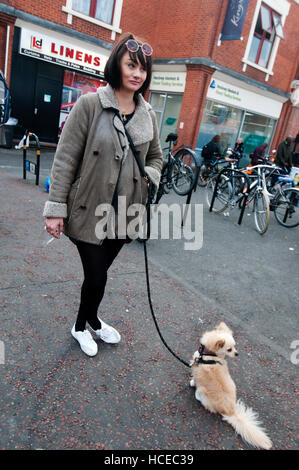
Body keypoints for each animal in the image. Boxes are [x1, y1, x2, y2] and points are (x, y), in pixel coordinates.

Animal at [191, 322, 274, 450]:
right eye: (230, 349)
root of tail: (231, 411)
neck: (210, 355)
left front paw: (191, 382)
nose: (237, 353)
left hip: (203, 392)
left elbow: (194, 379)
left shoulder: (196, 367)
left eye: (234, 347)